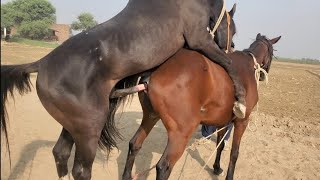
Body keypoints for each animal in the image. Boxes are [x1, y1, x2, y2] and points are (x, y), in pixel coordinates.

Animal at [0, 0, 241, 179]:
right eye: (234, 29)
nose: (231, 45)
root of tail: (42, 63)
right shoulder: (199, 39)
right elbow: (229, 64)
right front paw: (239, 95)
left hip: (72, 124)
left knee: (60, 153)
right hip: (90, 127)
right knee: (80, 170)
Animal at [115, 33, 280, 179]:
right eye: (272, 53)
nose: (264, 75)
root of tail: (152, 73)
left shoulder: (224, 121)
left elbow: (220, 145)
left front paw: (216, 167)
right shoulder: (242, 121)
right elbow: (234, 153)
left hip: (150, 116)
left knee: (134, 144)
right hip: (181, 133)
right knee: (163, 166)